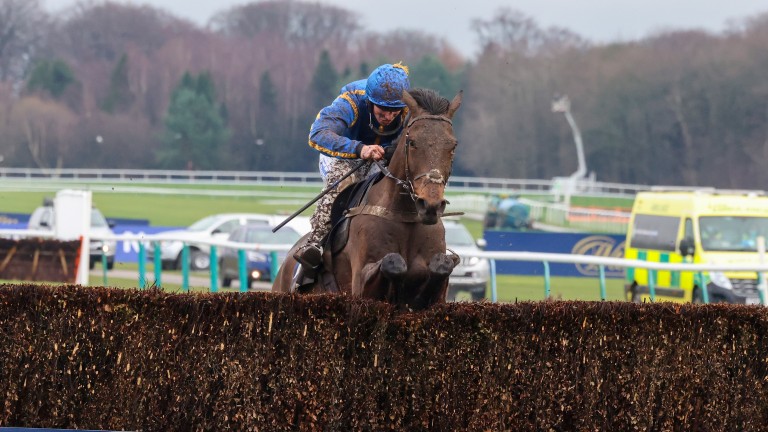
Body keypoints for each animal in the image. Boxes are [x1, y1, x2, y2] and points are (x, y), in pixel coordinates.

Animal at [272, 88, 462, 310]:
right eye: (412, 142)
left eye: (453, 145)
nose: (430, 205)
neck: (404, 214)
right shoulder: (360, 284)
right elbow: (393, 262)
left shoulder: (437, 294)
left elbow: (442, 266)